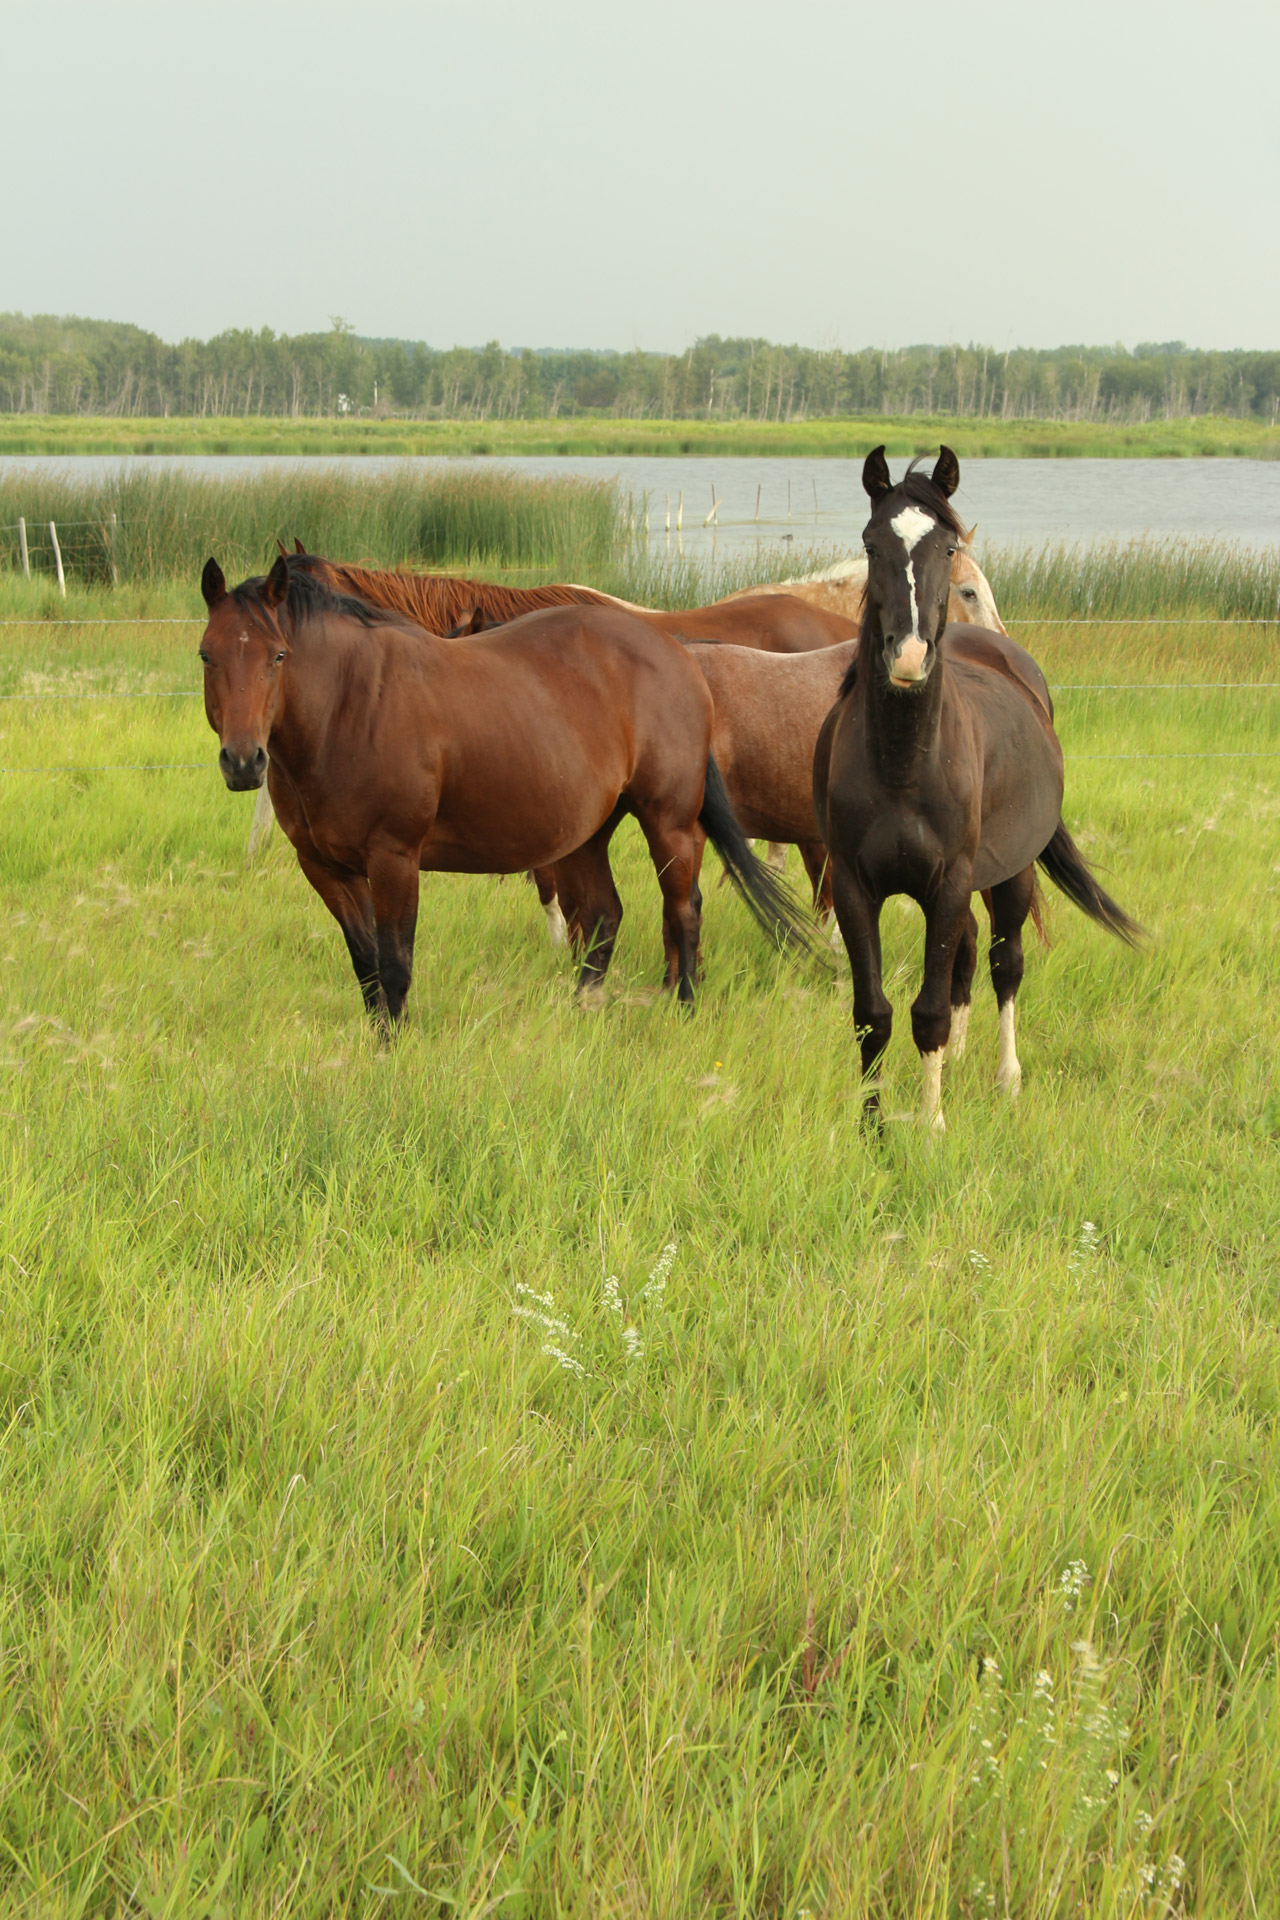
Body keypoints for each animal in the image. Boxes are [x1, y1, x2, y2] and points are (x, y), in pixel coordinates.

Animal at [201, 549, 805, 1029]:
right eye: (208, 654)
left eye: (278, 655)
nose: (243, 761)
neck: (350, 707)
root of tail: (681, 655)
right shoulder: (325, 868)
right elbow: (366, 966)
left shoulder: (394, 858)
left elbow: (394, 967)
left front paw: (392, 1056)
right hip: (587, 833)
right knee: (603, 914)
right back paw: (582, 1011)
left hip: (669, 821)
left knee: (682, 912)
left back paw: (684, 1008)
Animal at [809, 451, 1143, 1128]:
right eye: (871, 543)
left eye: (948, 547)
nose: (909, 655)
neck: (905, 765)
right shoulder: (856, 888)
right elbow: (873, 1014)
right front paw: (871, 1126)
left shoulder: (949, 882)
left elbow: (931, 1010)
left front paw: (932, 1125)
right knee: (964, 958)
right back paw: (961, 1058)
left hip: (1010, 874)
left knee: (1003, 964)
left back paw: (1004, 1077)